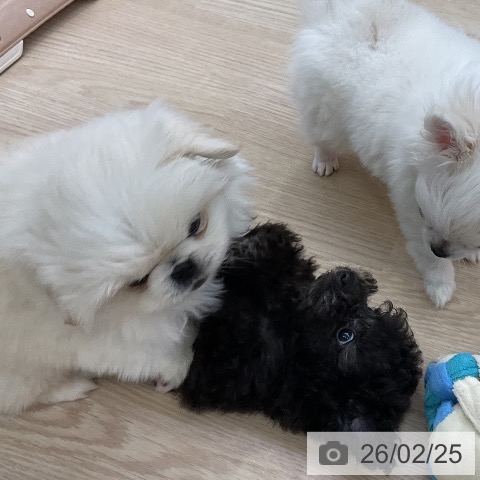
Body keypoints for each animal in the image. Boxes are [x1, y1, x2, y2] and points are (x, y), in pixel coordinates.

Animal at [0, 100, 255, 415]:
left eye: (196, 225)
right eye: (138, 282)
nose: (183, 268)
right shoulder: (103, 342)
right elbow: (159, 350)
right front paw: (178, 367)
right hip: (25, 374)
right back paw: (74, 386)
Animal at [290, 0, 480, 307]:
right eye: (424, 214)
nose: (439, 248)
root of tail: (335, 13)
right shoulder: (410, 202)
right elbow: (426, 256)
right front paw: (440, 285)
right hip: (325, 112)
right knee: (322, 137)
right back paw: (325, 160)